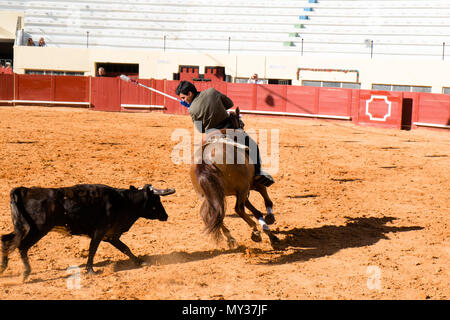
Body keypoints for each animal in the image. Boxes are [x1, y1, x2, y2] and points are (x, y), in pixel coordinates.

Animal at [0, 184, 175, 282]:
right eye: (156, 200)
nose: (166, 215)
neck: (124, 201)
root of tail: (25, 191)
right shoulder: (100, 232)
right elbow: (93, 250)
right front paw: (90, 270)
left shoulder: (111, 235)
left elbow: (125, 248)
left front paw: (139, 262)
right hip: (37, 230)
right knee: (21, 247)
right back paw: (25, 274)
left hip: (23, 229)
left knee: (6, 241)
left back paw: (3, 269)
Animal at [189, 107, 278, 248]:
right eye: (242, 124)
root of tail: (206, 158)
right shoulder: (252, 185)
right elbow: (266, 200)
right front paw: (269, 220)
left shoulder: (243, 192)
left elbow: (256, 211)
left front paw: (270, 233)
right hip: (242, 189)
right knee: (238, 209)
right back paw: (254, 232)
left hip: (209, 195)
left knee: (214, 213)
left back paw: (231, 238)